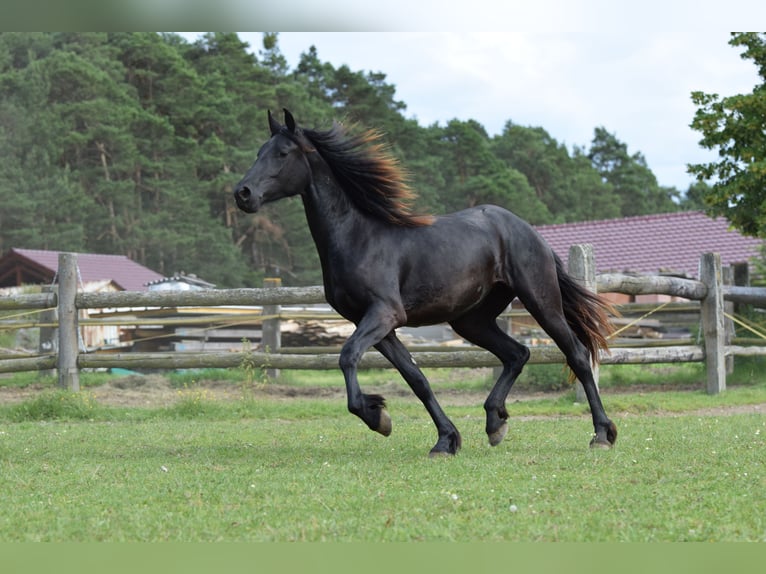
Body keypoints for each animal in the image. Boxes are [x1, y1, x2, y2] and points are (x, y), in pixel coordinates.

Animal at [234, 110, 616, 456]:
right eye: (259, 151)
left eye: (282, 153)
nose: (243, 193)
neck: (358, 237)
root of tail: (527, 230)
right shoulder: (374, 323)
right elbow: (416, 378)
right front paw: (444, 440)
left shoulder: (385, 314)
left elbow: (347, 356)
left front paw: (377, 416)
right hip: (471, 320)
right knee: (517, 353)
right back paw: (495, 423)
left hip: (540, 300)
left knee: (577, 354)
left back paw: (602, 434)